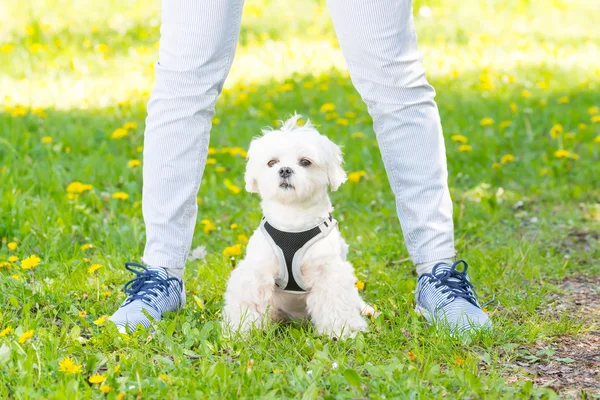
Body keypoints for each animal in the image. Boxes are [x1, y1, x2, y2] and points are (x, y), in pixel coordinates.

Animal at [223, 114, 372, 340]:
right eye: (272, 162)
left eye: (305, 162)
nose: (285, 169)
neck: (292, 223)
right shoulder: (257, 270)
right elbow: (248, 301)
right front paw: (240, 329)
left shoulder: (328, 272)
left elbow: (335, 304)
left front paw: (339, 331)